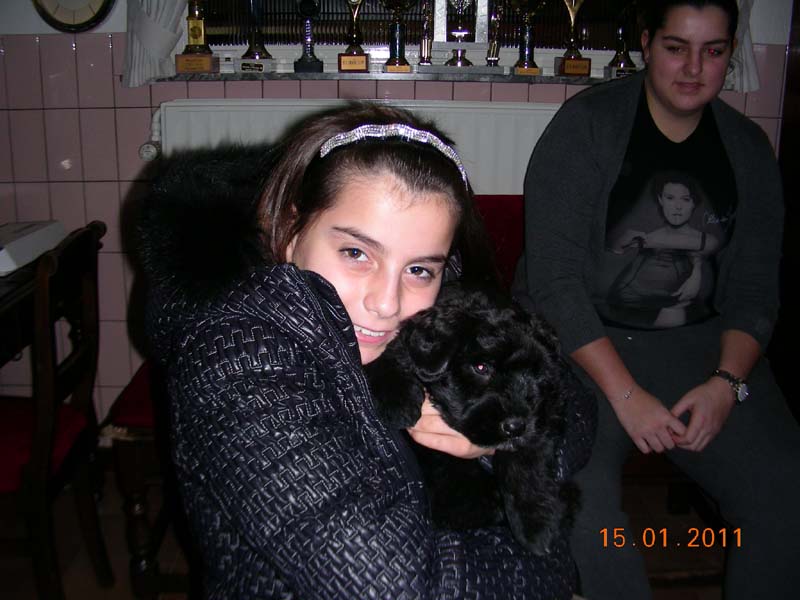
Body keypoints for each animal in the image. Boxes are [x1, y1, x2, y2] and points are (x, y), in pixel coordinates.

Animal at [364, 286, 582, 555]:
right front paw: (397, 398)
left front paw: (537, 526)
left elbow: (528, 465)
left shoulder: (546, 412)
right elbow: (390, 353)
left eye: (535, 373)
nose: (515, 427)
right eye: (480, 367)